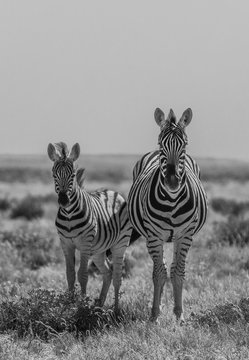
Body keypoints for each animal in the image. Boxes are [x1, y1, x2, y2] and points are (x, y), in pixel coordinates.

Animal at [47, 142, 132, 310]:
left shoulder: (85, 243)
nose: (64, 201)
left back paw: (116, 310)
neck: (69, 215)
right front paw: (69, 304)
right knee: (108, 272)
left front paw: (81, 305)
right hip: (98, 250)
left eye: (73, 175)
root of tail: (114, 192)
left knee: (117, 276)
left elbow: (83, 275)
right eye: (54, 174)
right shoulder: (65, 243)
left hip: (120, 244)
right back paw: (99, 306)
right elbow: (70, 274)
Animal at [127, 107, 207, 324]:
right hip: (152, 237)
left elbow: (178, 273)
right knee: (160, 268)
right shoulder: (154, 236)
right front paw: (154, 315)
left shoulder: (185, 236)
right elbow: (158, 274)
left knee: (169, 267)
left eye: (184, 144)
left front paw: (179, 316)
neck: (171, 201)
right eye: (161, 143)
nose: (172, 181)